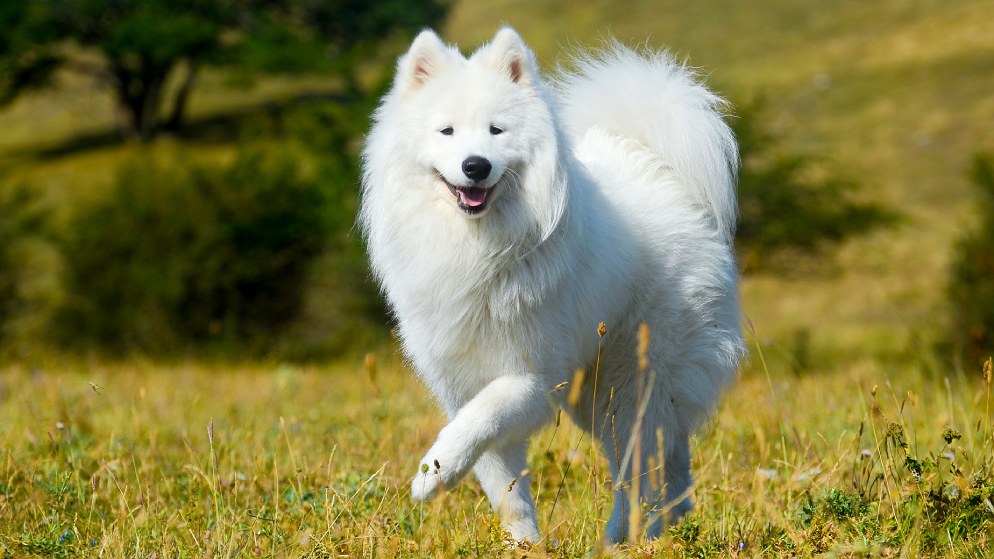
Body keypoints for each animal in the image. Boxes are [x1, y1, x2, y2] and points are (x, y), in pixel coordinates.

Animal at [360, 27, 740, 548]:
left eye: (497, 131)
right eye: (447, 131)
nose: (475, 165)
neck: (478, 248)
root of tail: (658, 168)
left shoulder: (532, 376)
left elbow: (479, 421)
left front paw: (431, 475)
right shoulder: (462, 379)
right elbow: (503, 484)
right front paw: (522, 545)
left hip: (630, 385)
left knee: (638, 472)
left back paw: (619, 541)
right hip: (602, 395)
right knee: (669, 462)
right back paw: (667, 526)